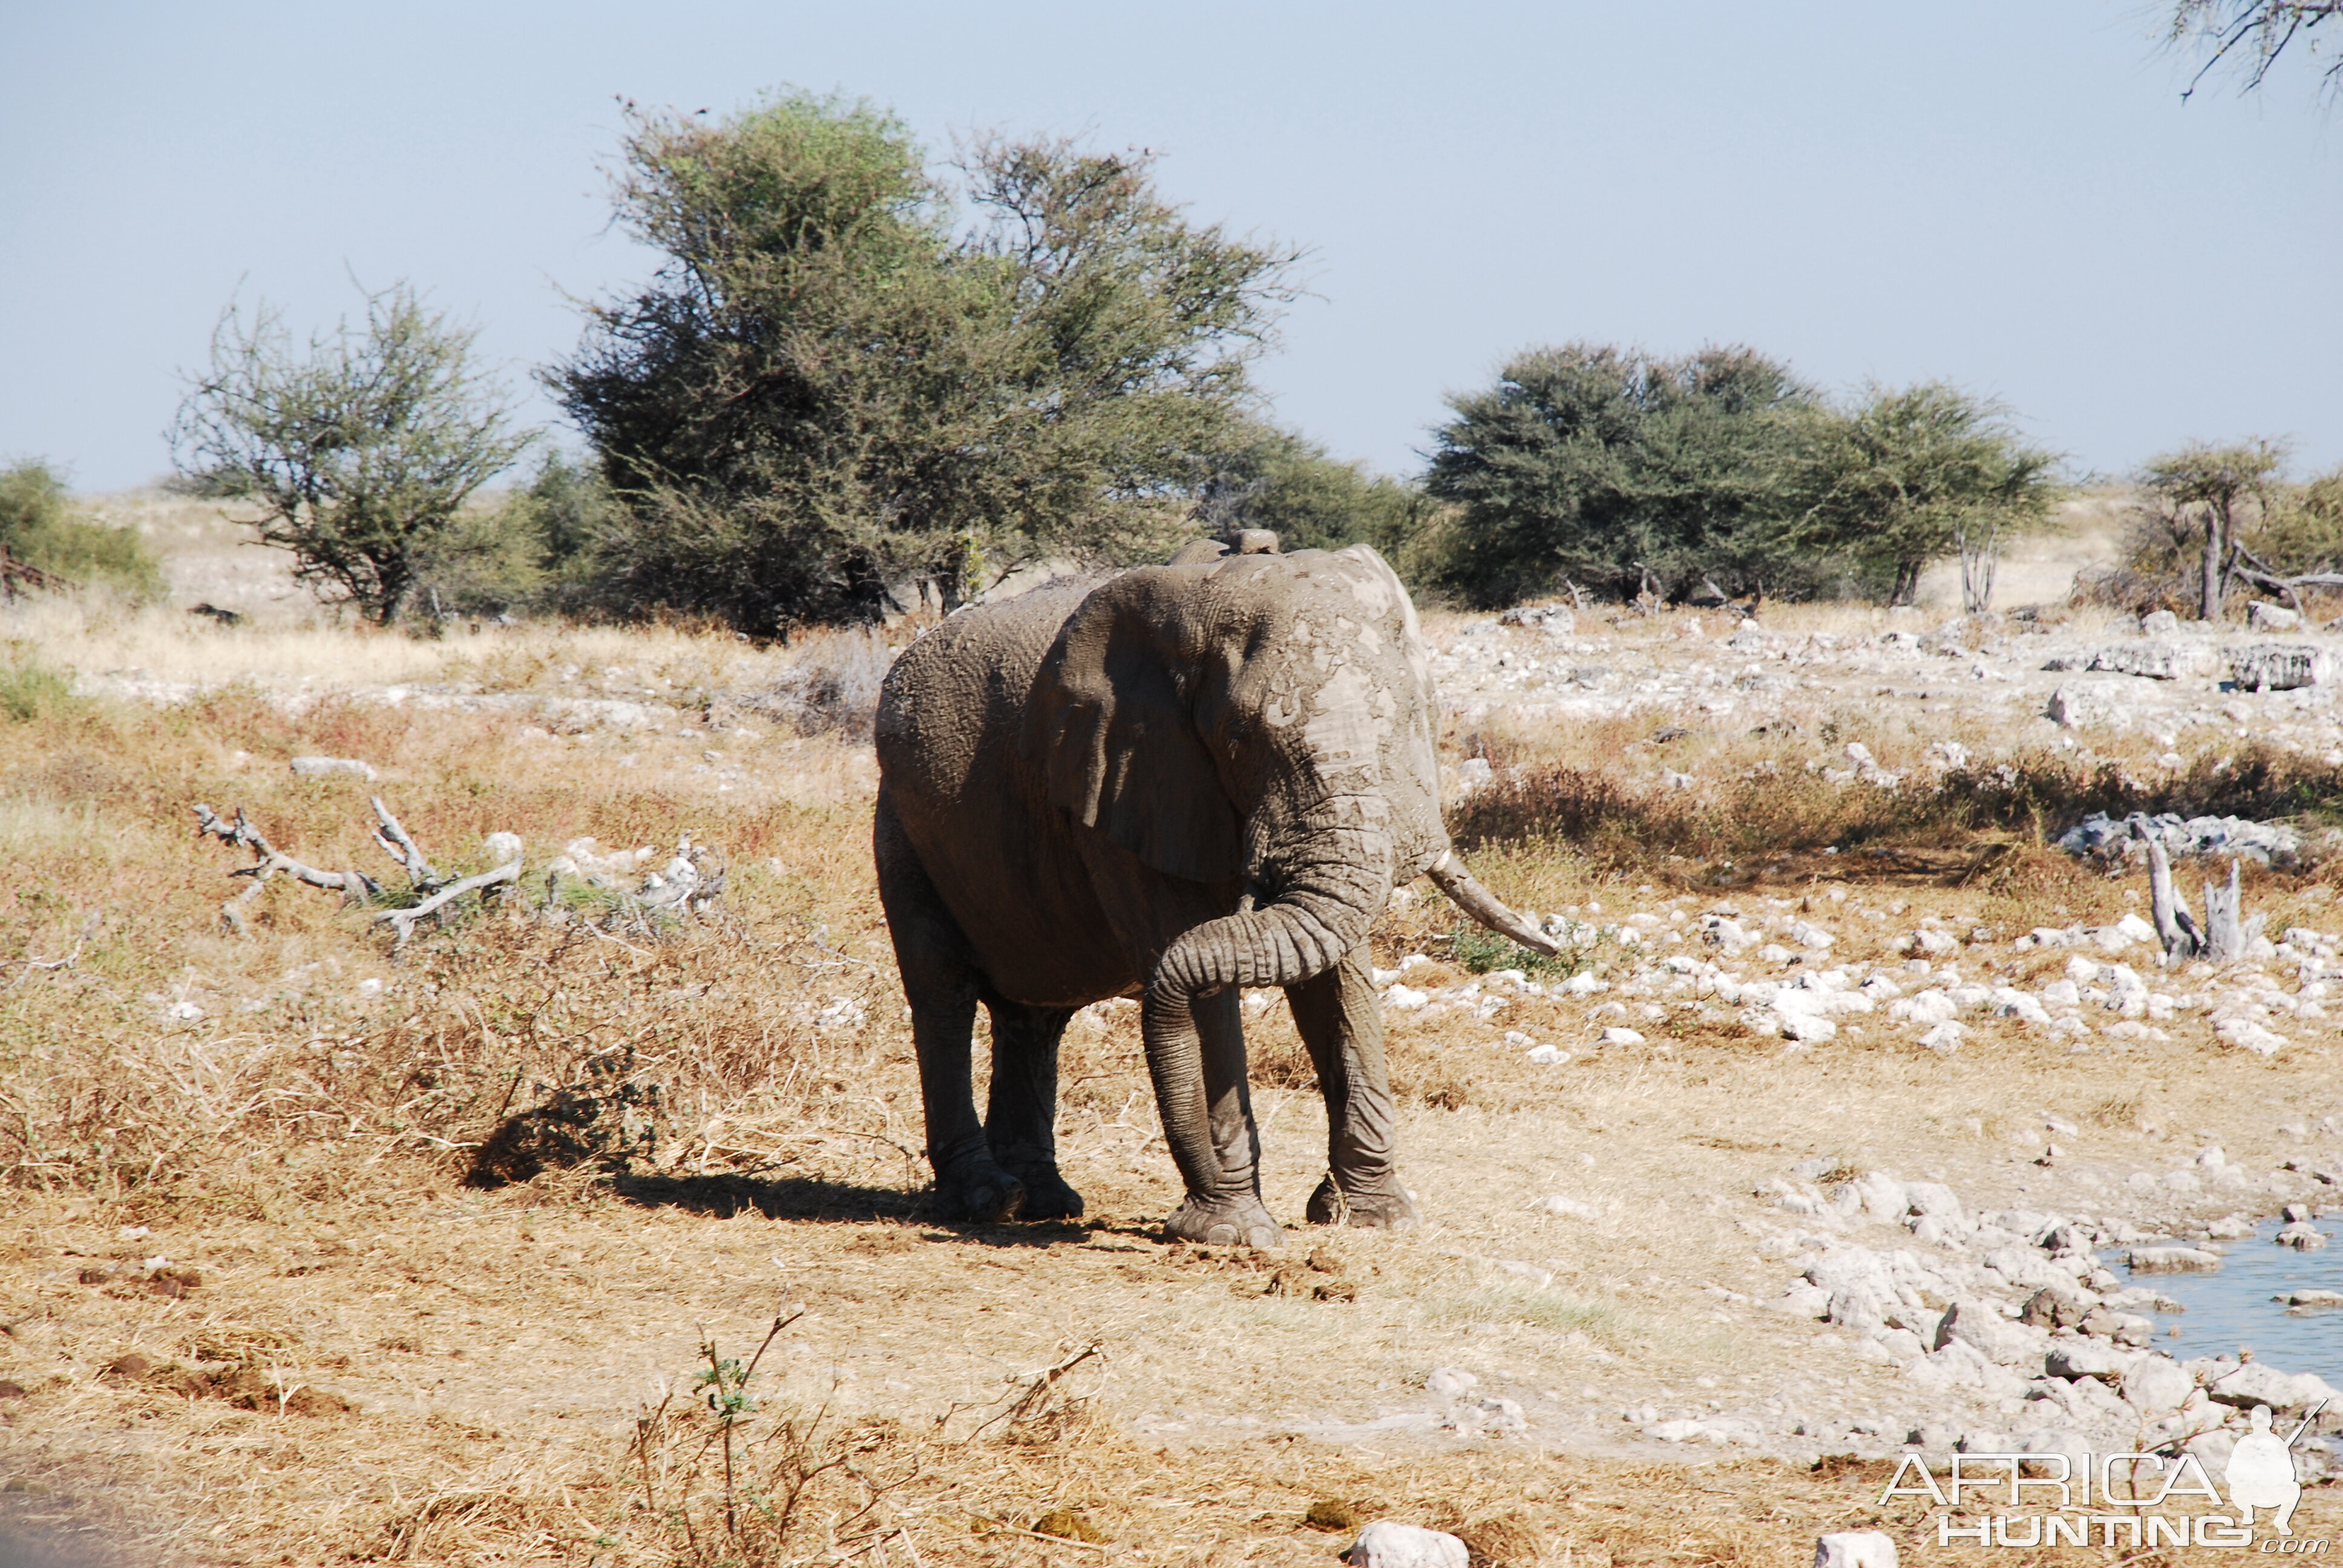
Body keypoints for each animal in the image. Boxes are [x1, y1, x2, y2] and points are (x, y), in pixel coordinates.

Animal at [871, 539, 1565, 1247]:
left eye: (1405, 720)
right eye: (1237, 738)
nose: (1176, 1217)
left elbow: (1340, 981)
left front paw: (1371, 1218)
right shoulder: (1125, 784)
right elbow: (1193, 972)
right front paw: (1234, 1232)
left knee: (1034, 1017)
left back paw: (1044, 1202)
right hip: (900, 825)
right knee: (942, 992)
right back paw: (986, 1198)